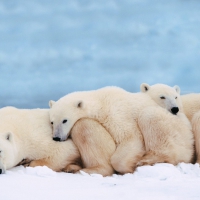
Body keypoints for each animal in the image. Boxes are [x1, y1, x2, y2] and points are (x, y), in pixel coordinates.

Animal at [48, 84, 194, 173]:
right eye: (52, 122)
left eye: (65, 120)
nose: (56, 138)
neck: (101, 101)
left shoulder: (116, 112)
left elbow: (130, 136)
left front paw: (128, 167)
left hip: (176, 128)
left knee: (149, 116)